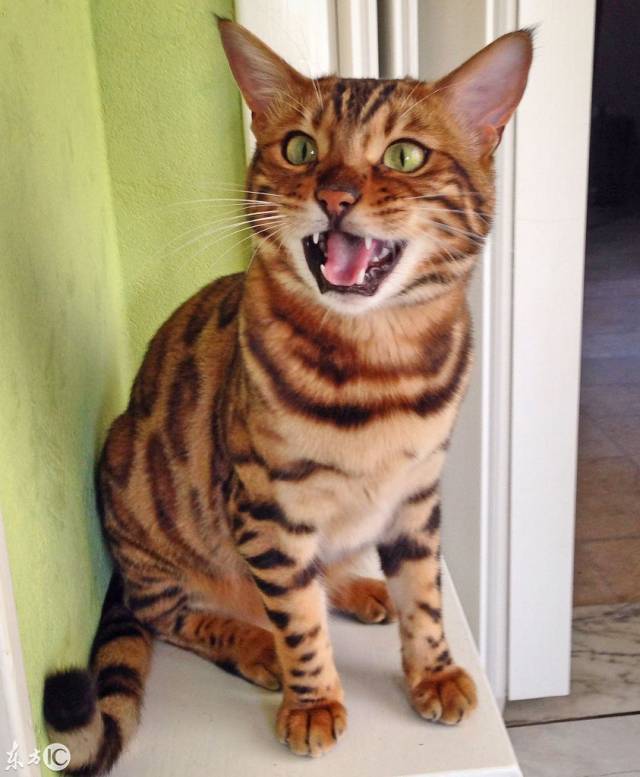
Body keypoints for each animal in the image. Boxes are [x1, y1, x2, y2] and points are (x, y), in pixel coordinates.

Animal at [43, 18, 532, 773]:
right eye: (301, 148)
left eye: (405, 155)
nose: (335, 197)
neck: (378, 368)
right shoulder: (266, 507)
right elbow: (298, 622)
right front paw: (312, 701)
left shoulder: (416, 496)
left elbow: (423, 594)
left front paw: (433, 670)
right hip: (139, 499)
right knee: (178, 615)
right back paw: (255, 645)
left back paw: (361, 587)